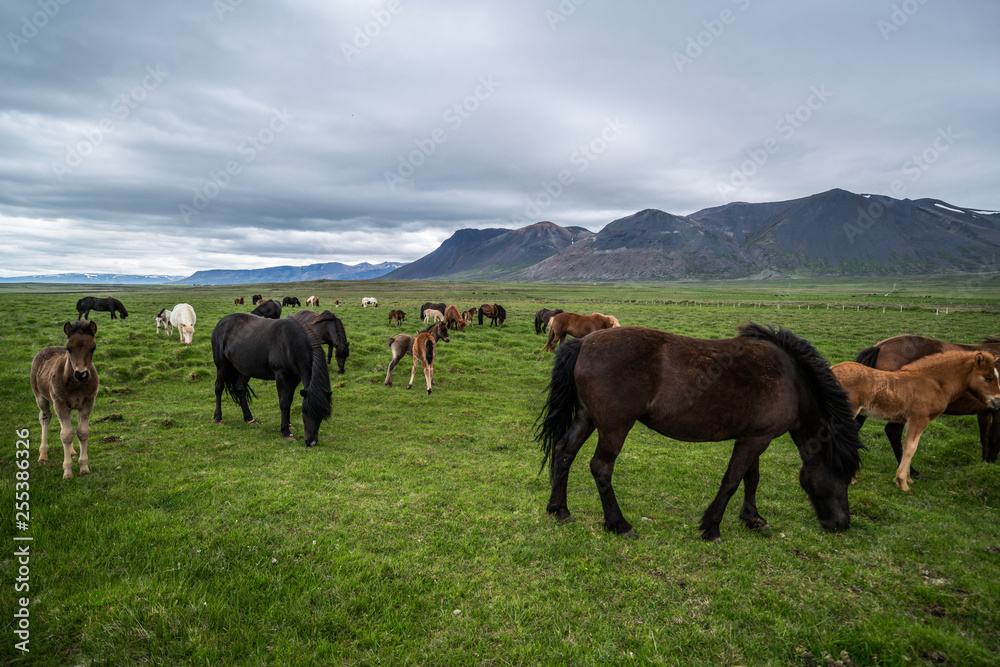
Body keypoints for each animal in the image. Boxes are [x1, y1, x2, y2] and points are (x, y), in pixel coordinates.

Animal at [30, 320, 100, 478]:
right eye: (69, 348)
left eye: (93, 348)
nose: (81, 374)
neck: (76, 384)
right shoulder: (59, 403)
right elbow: (66, 434)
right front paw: (67, 471)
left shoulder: (88, 401)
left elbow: (82, 432)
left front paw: (84, 467)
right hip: (40, 397)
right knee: (45, 417)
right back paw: (43, 455)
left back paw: (72, 451)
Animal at [213, 314, 334, 448]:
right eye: (304, 411)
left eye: (322, 415)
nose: (311, 442)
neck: (291, 344)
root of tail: (221, 322)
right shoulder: (280, 375)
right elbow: (283, 403)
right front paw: (286, 432)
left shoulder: (295, 378)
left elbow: (289, 400)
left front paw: (289, 424)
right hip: (222, 365)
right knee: (218, 388)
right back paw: (218, 418)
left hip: (245, 369)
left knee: (240, 389)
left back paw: (249, 418)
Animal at [536, 324, 864, 544]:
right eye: (843, 476)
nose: (842, 523)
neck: (791, 381)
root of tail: (584, 342)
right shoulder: (755, 440)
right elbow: (731, 481)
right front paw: (712, 527)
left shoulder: (755, 436)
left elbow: (751, 478)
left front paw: (753, 518)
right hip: (614, 426)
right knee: (601, 467)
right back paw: (619, 524)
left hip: (586, 417)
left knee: (564, 452)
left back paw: (559, 510)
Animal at [832, 350, 1000, 490]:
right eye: (988, 378)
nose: (998, 401)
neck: (934, 382)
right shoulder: (919, 419)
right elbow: (911, 447)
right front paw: (902, 482)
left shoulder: (907, 420)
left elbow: (908, 446)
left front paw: (907, 478)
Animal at [852, 334, 1000, 464]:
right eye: (988, 378)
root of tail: (880, 347)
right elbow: (994, 438)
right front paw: (991, 463)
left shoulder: (984, 412)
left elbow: (985, 437)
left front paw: (984, 462)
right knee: (893, 432)